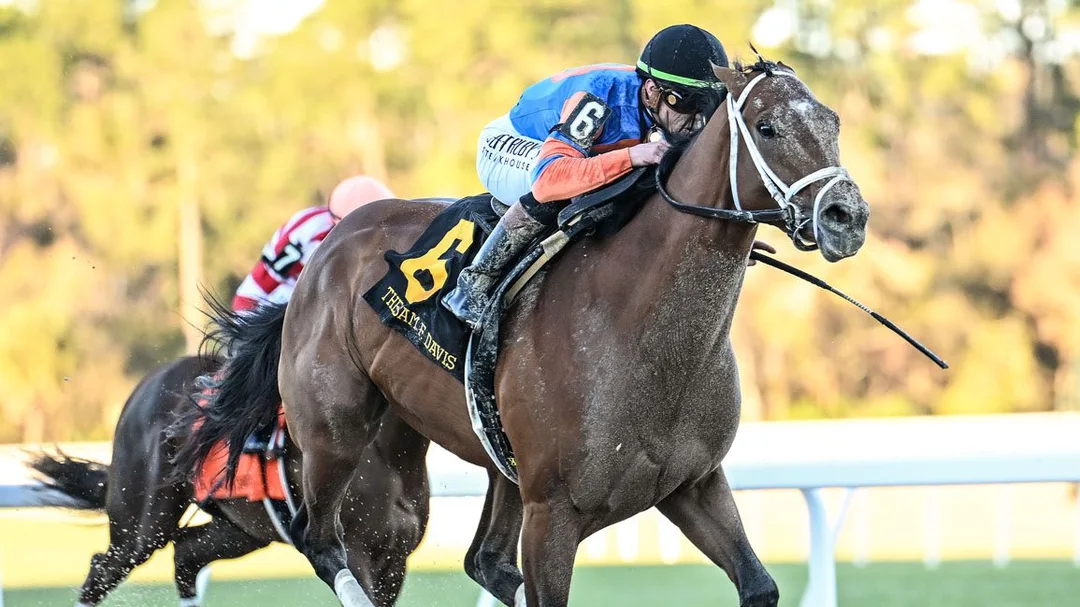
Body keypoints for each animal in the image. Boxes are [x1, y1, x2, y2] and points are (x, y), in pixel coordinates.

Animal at [31, 351, 430, 607]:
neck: (385, 452)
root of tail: (146, 386)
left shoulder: (395, 562)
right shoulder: (354, 555)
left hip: (242, 529)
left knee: (186, 555)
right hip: (141, 523)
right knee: (104, 567)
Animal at [176, 57, 870, 607]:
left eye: (833, 122)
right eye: (768, 127)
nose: (848, 216)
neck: (641, 329)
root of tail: (331, 244)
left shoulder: (692, 485)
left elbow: (760, 585)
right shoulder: (553, 513)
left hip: (482, 460)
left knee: (480, 560)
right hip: (333, 432)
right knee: (323, 544)